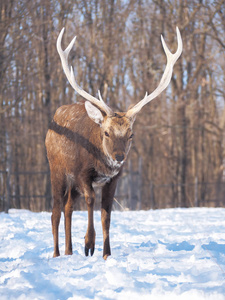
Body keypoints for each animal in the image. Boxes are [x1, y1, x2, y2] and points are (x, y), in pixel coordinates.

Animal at [45, 27, 183, 258]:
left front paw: (106, 254)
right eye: (106, 132)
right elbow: (91, 200)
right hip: (57, 169)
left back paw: (69, 251)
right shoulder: (83, 173)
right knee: (55, 210)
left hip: (72, 183)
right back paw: (56, 254)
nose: (119, 157)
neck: (102, 164)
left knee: (67, 207)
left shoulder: (113, 179)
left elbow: (106, 213)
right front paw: (89, 244)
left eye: (131, 134)